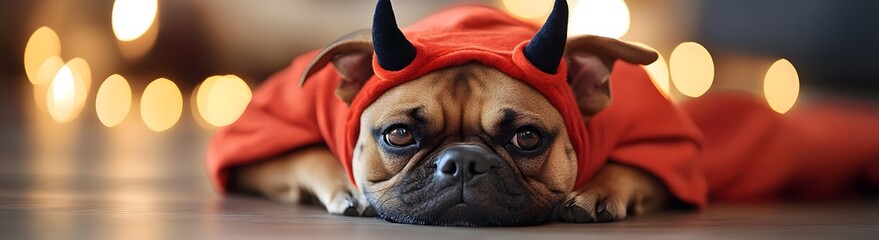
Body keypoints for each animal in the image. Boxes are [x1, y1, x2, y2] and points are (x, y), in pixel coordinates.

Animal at [205, 0, 879, 226]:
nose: (463, 163)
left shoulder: (674, 158)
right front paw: (347, 187)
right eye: (397, 134)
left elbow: (634, 169)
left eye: (528, 139)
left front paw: (598, 190)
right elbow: (312, 156)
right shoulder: (261, 152)